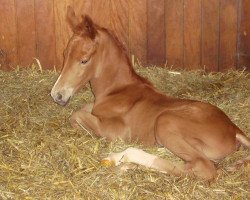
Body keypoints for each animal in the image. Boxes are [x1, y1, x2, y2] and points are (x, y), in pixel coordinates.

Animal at [50, 6, 248, 181]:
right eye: (64, 54)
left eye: (84, 60)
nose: (56, 95)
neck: (115, 91)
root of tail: (234, 130)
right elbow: (81, 111)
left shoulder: (116, 130)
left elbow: (76, 115)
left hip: (165, 121)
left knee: (201, 167)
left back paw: (124, 158)